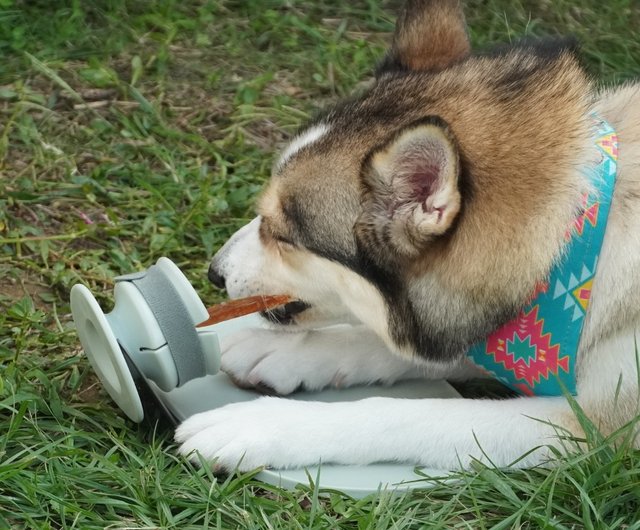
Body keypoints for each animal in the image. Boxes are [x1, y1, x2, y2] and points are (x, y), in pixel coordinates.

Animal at [174, 0, 640, 470]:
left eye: (284, 236)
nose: (214, 272)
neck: (579, 245)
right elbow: (400, 345)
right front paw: (284, 352)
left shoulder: (597, 428)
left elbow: (413, 413)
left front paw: (263, 425)